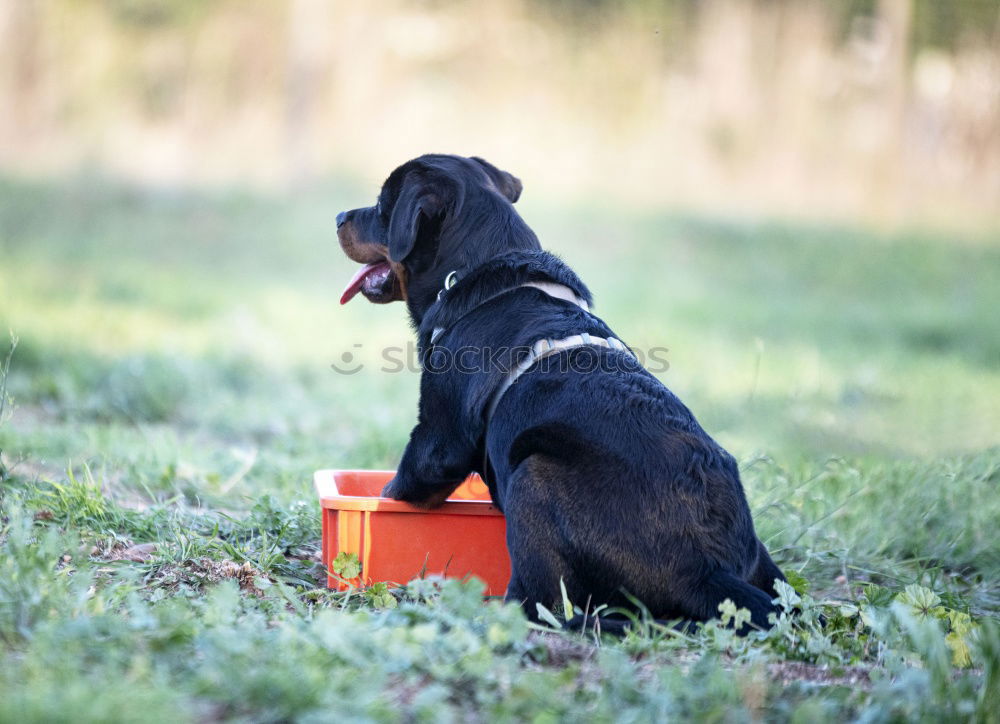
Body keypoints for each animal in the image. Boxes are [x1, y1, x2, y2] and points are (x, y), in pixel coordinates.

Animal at [340, 154, 784, 632]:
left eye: (382, 207)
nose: (340, 217)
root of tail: (708, 569)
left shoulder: (439, 437)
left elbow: (403, 484)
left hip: (534, 477)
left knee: (540, 601)